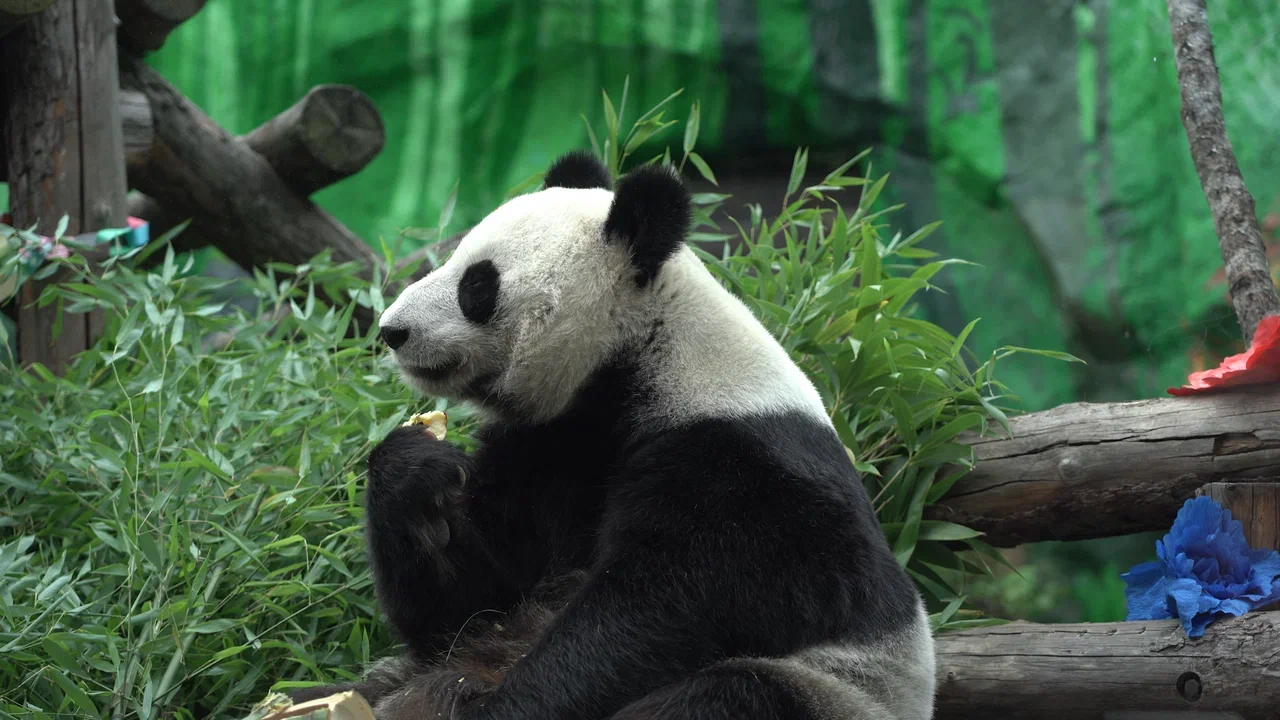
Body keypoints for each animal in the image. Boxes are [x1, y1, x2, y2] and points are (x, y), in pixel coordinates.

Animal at [293, 148, 942, 712]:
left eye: (477, 284)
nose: (391, 330)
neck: (639, 359)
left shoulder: (743, 469)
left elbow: (660, 609)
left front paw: (506, 706)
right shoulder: (550, 445)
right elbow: (473, 604)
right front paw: (418, 472)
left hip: (832, 689)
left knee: (728, 696)